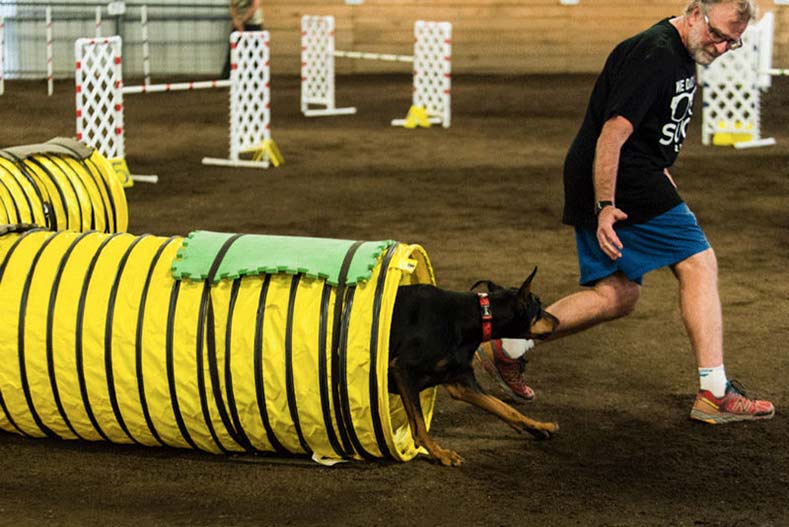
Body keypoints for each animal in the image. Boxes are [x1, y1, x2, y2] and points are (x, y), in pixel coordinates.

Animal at [390, 268, 560, 466]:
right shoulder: (402, 368)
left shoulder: (460, 381)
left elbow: (506, 408)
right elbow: (419, 425)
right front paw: (440, 453)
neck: (476, 316)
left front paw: (541, 426)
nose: (558, 320)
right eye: (538, 308)